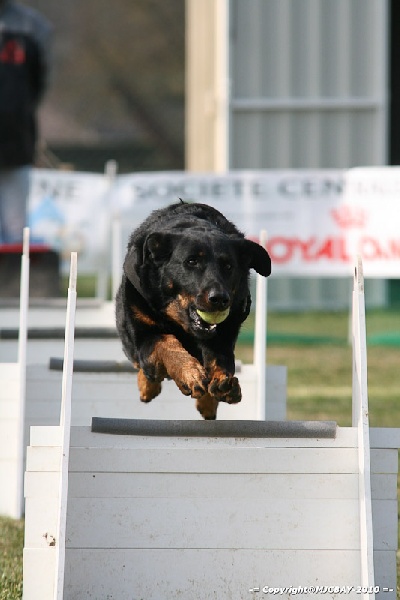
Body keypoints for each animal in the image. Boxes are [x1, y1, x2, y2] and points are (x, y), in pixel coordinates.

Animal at [116, 199, 272, 420]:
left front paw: (221, 385)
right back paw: (148, 386)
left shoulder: (224, 333)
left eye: (228, 266)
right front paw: (189, 373)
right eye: (191, 261)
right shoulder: (146, 334)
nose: (219, 299)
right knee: (143, 365)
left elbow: (221, 360)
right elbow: (167, 344)